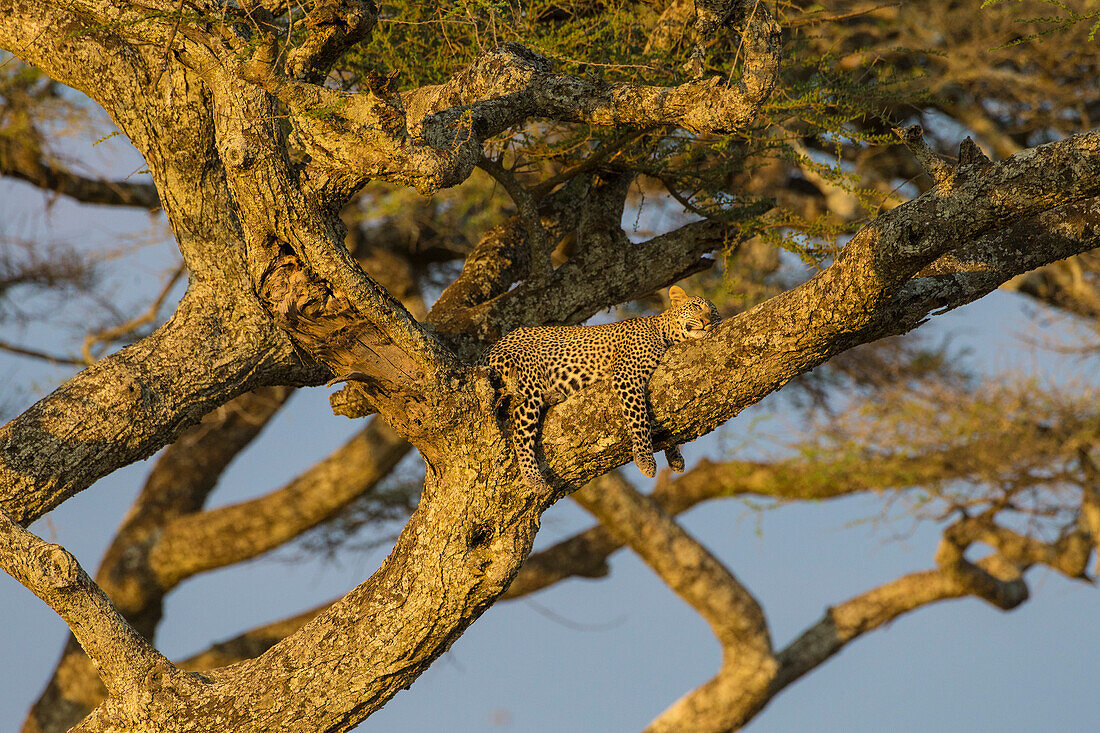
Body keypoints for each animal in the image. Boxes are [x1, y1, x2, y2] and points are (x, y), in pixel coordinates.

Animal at [486, 283, 717, 484]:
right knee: (520, 429)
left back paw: (554, 395)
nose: (708, 321)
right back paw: (533, 479)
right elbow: (640, 419)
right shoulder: (626, 375)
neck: (663, 331)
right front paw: (645, 460)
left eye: (713, 313)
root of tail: (491, 349)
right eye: (696, 307)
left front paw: (675, 457)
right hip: (526, 377)